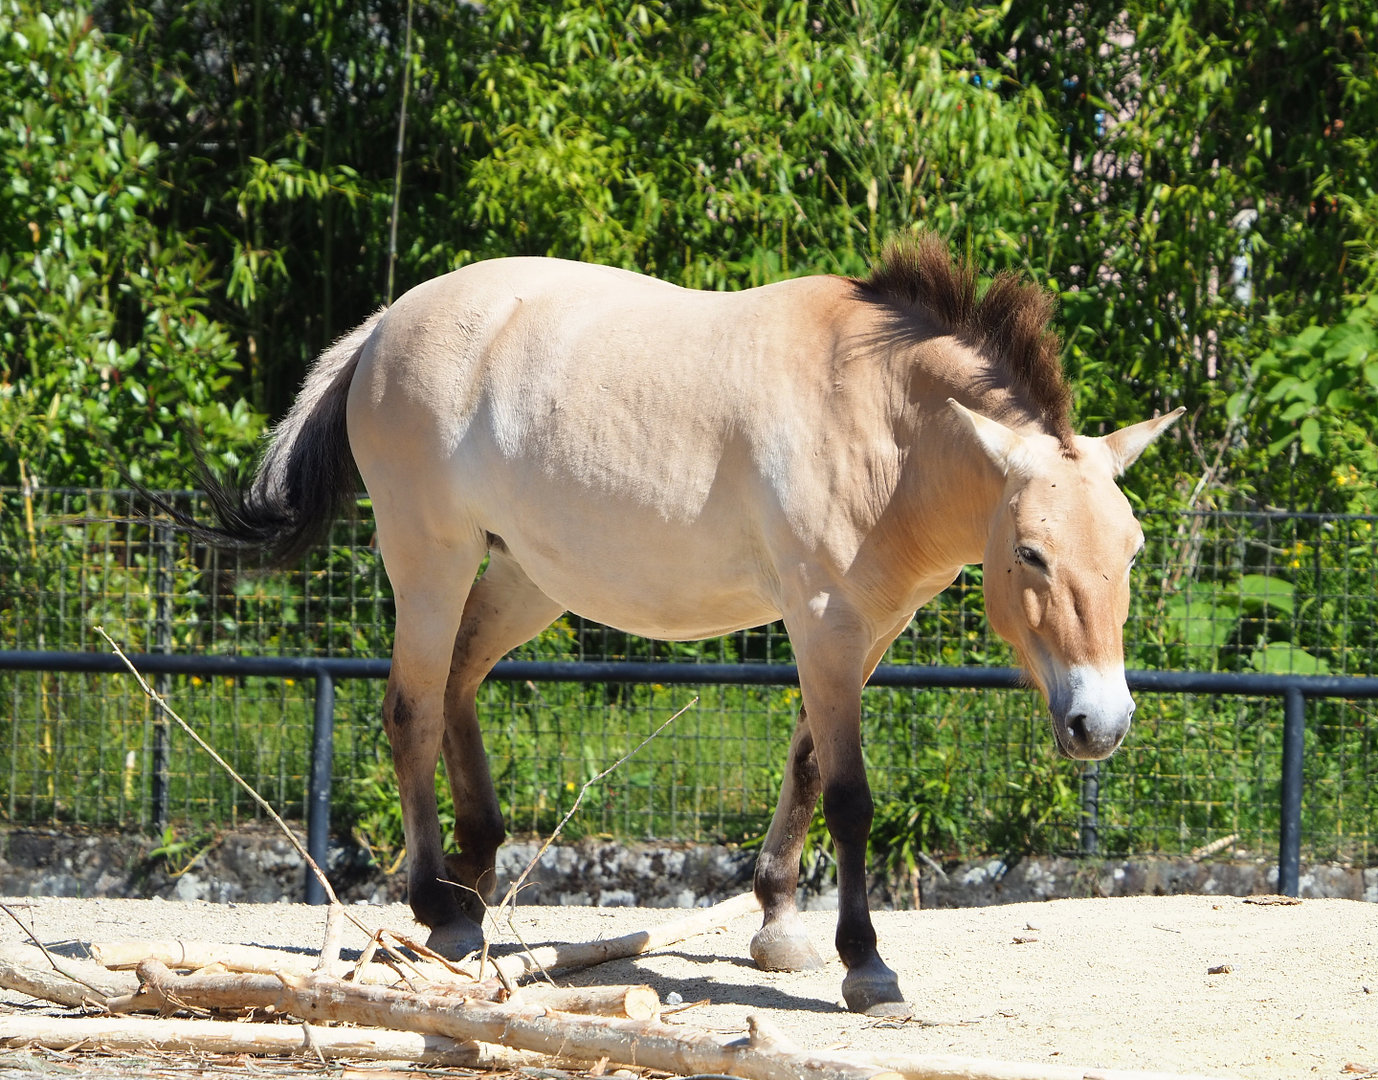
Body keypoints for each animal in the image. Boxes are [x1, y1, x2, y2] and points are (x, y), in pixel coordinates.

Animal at [175, 234, 1181, 1016]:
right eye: (1032, 554)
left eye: (1131, 550)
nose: (1101, 724)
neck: (879, 418)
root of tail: (382, 328)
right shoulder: (825, 625)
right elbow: (850, 796)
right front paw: (866, 966)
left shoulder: (865, 634)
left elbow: (806, 767)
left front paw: (778, 924)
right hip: (433, 564)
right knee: (413, 709)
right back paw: (439, 906)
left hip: (525, 579)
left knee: (460, 684)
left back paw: (475, 876)